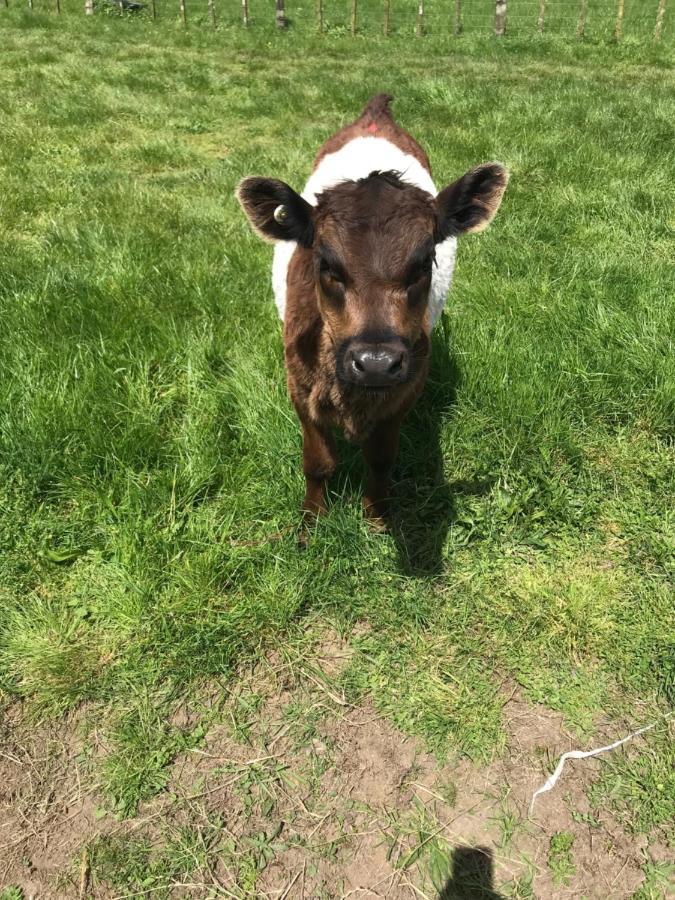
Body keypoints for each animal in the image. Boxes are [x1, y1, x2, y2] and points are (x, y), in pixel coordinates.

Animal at [238, 95, 508, 524]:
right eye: (326, 264)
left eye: (424, 263)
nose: (377, 363)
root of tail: (376, 112)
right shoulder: (299, 387)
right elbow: (317, 464)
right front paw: (312, 522)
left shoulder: (404, 390)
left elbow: (381, 460)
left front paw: (378, 518)